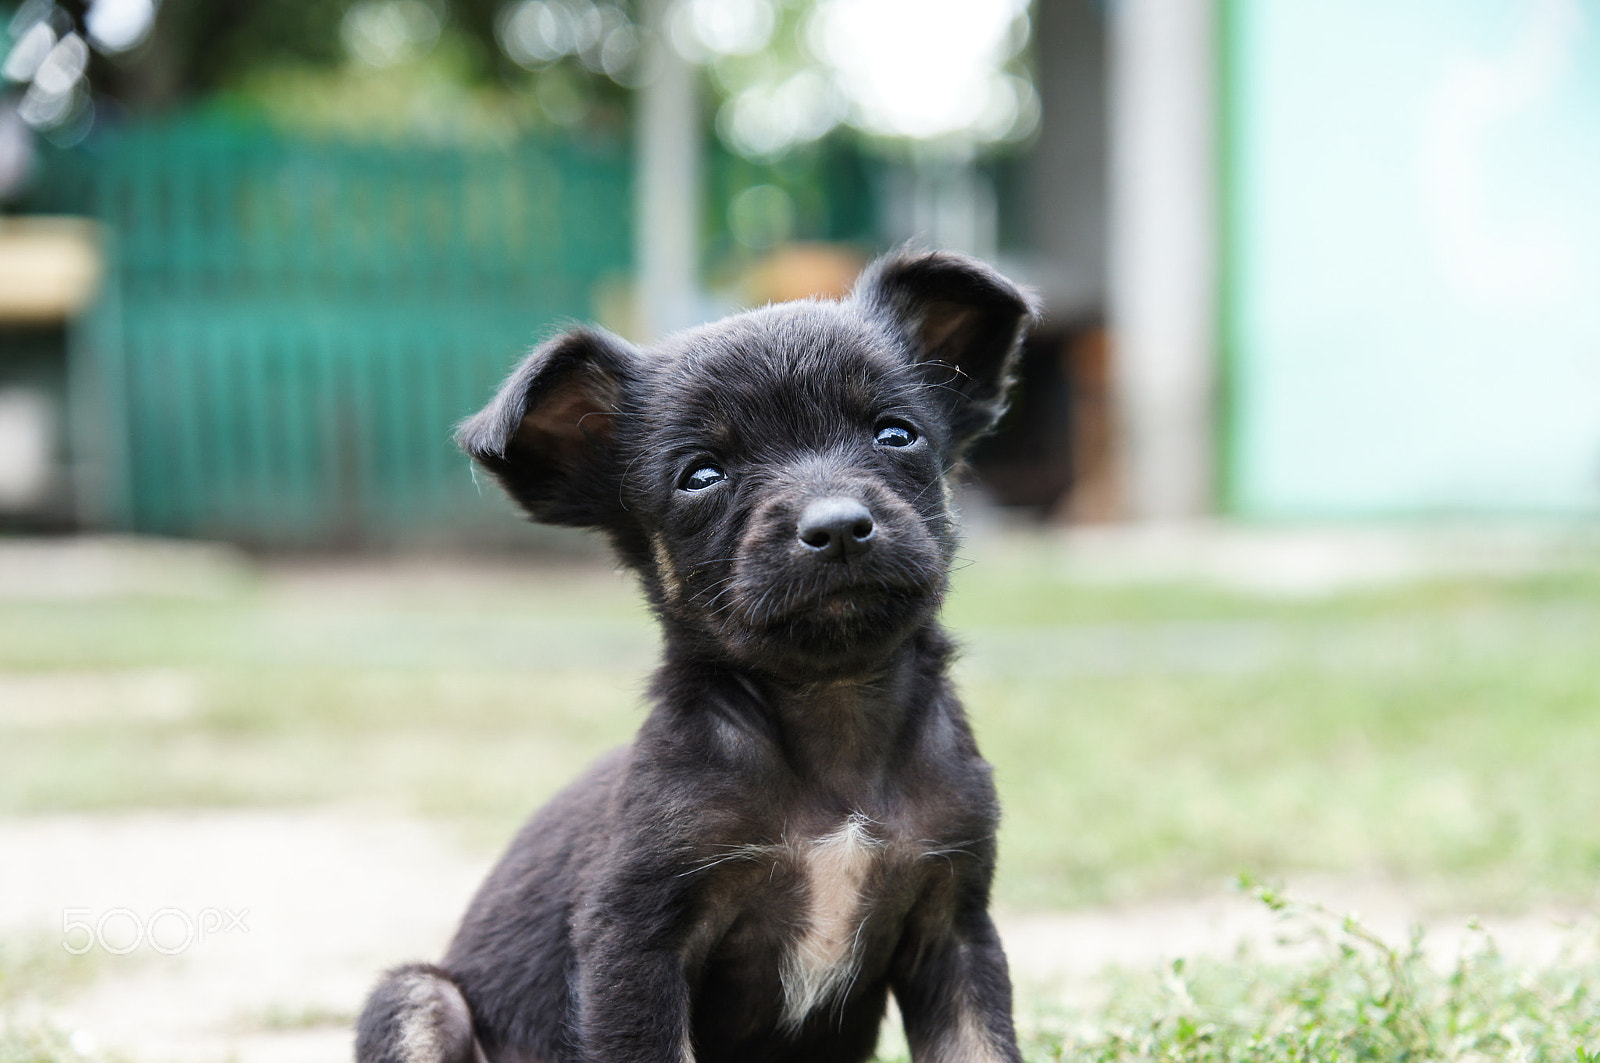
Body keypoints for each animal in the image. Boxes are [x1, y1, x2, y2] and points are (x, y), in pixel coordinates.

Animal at [353, 251, 1036, 1063]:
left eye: (896, 434)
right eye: (701, 476)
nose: (838, 527)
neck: (831, 711)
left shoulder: (954, 928)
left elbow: (980, 1044)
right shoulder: (637, 942)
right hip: (418, 997)